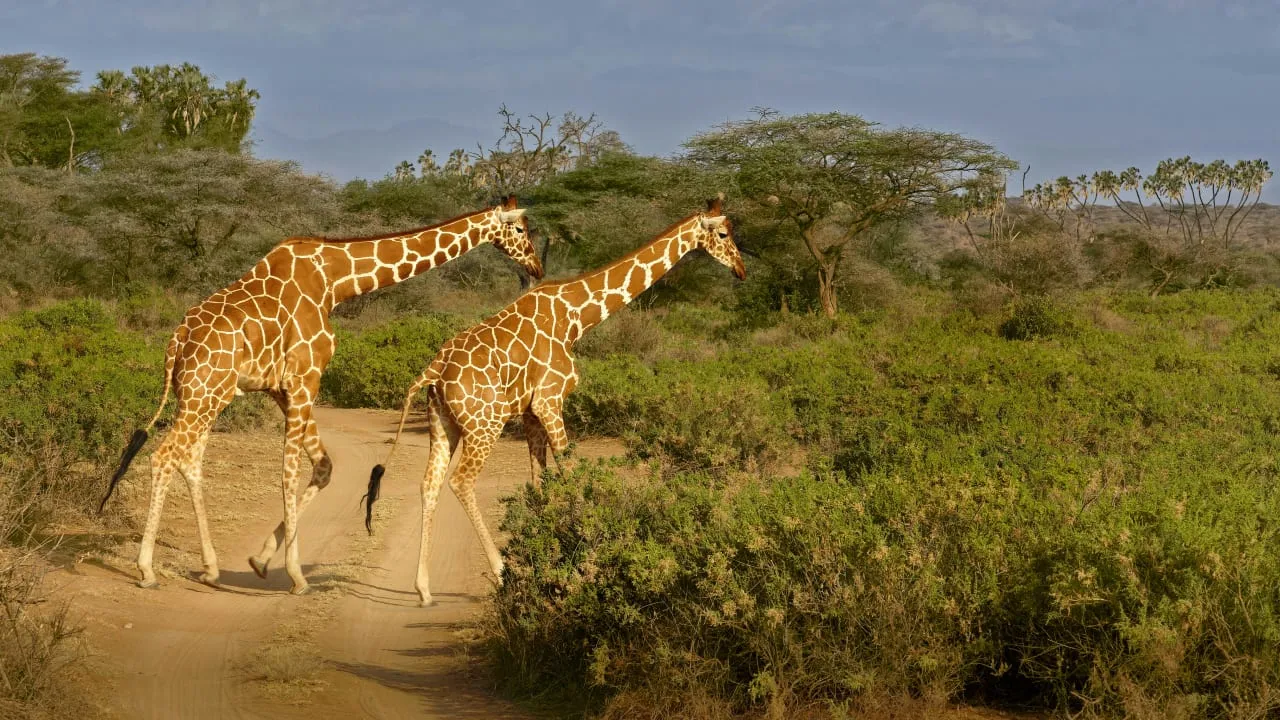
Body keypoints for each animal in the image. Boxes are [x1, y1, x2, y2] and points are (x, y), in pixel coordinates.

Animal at [100, 195, 543, 595]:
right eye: (522, 229)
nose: (536, 268)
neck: (335, 281)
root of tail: (176, 341)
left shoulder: (282, 388)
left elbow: (323, 466)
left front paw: (261, 560)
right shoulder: (305, 378)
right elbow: (288, 471)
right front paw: (296, 576)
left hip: (204, 396)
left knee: (189, 460)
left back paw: (209, 569)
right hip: (204, 394)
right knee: (164, 456)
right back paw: (146, 570)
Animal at [364, 196, 744, 606]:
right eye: (724, 234)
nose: (741, 270)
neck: (576, 317)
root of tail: (433, 371)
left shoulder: (530, 411)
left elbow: (538, 479)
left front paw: (543, 546)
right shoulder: (550, 399)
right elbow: (569, 469)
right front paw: (586, 548)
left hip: (442, 422)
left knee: (429, 484)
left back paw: (424, 589)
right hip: (485, 423)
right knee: (461, 482)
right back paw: (501, 570)